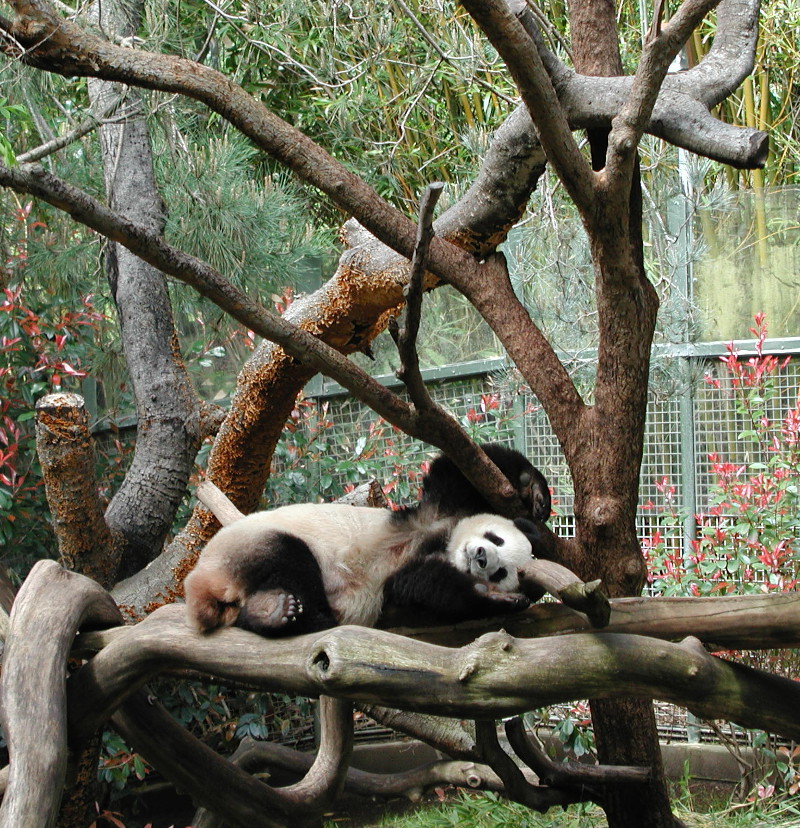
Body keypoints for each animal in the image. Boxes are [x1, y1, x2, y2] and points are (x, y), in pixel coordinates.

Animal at [184, 503, 535, 637]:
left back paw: (266, 612)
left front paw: (495, 597)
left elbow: (425, 586)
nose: (481, 557)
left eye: (502, 573)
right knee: (291, 558)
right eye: (496, 538)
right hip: (249, 543)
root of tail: (203, 585)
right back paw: (293, 614)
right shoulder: (415, 526)